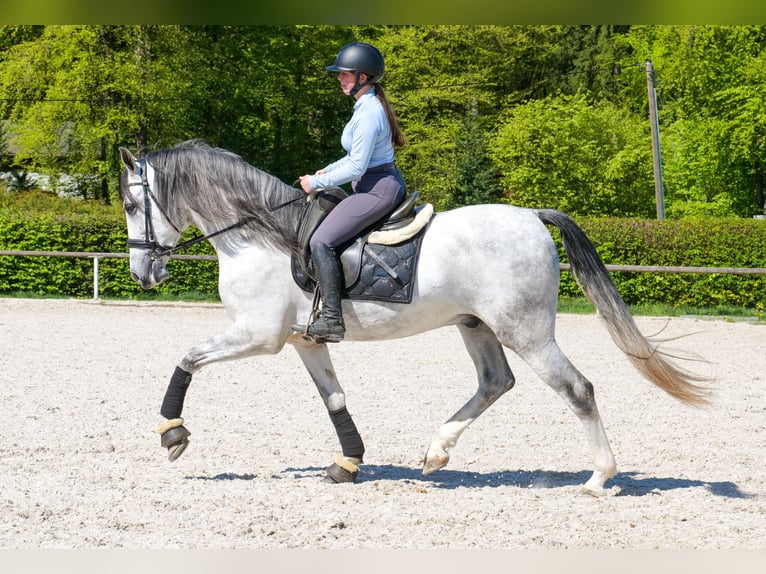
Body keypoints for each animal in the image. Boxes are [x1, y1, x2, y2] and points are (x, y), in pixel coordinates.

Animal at [118, 140, 709, 496]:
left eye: (129, 205)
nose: (143, 274)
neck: (258, 235)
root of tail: (531, 217)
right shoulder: (305, 341)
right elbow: (335, 398)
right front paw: (348, 463)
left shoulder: (258, 336)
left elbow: (188, 358)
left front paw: (172, 433)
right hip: (477, 326)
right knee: (496, 382)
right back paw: (435, 453)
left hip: (525, 330)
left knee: (576, 388)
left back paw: (598, 478)